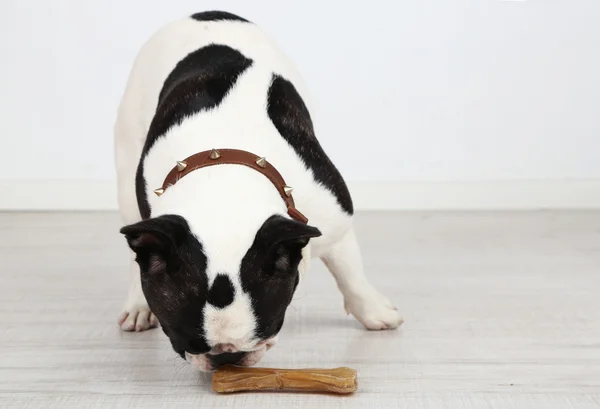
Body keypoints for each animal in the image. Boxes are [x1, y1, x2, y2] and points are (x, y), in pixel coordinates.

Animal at [113, 11, 404, 372]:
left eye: (270, 324)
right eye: (183, 338)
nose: (226, 357)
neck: (223, 183)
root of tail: (205, 14)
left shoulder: (334, 222)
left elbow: (350, 271)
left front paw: (374, 311)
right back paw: (138, 307)